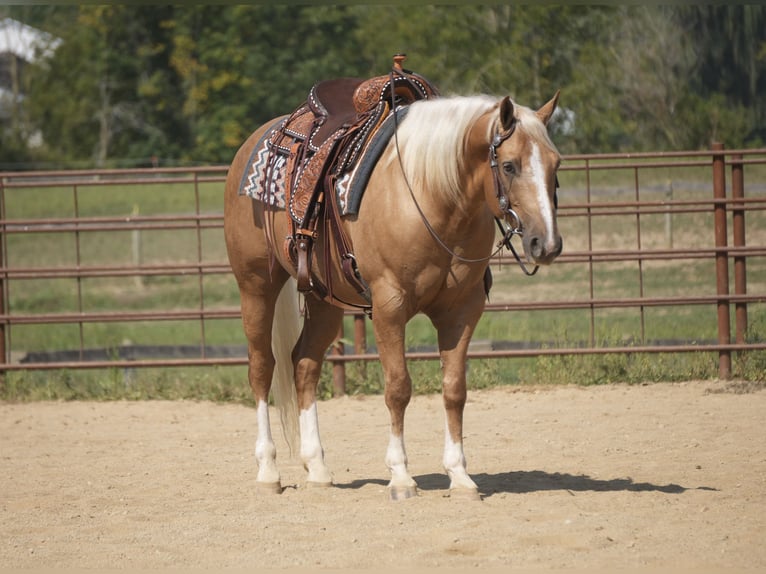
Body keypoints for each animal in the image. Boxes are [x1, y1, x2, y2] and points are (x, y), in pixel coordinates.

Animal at [224, 89, 563, 500]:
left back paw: (318, 468)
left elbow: (455, 390)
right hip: (256, 285)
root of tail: (258, 138)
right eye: (510, 166)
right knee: (262, 367)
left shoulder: (462, 311)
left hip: (324, 300)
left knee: (303, 365)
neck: (431, 195)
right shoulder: (390, 307)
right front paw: (401, 477)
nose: (546, 244)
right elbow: (398, 388)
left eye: (556, 164)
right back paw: (269, 470)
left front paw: (460, 476)